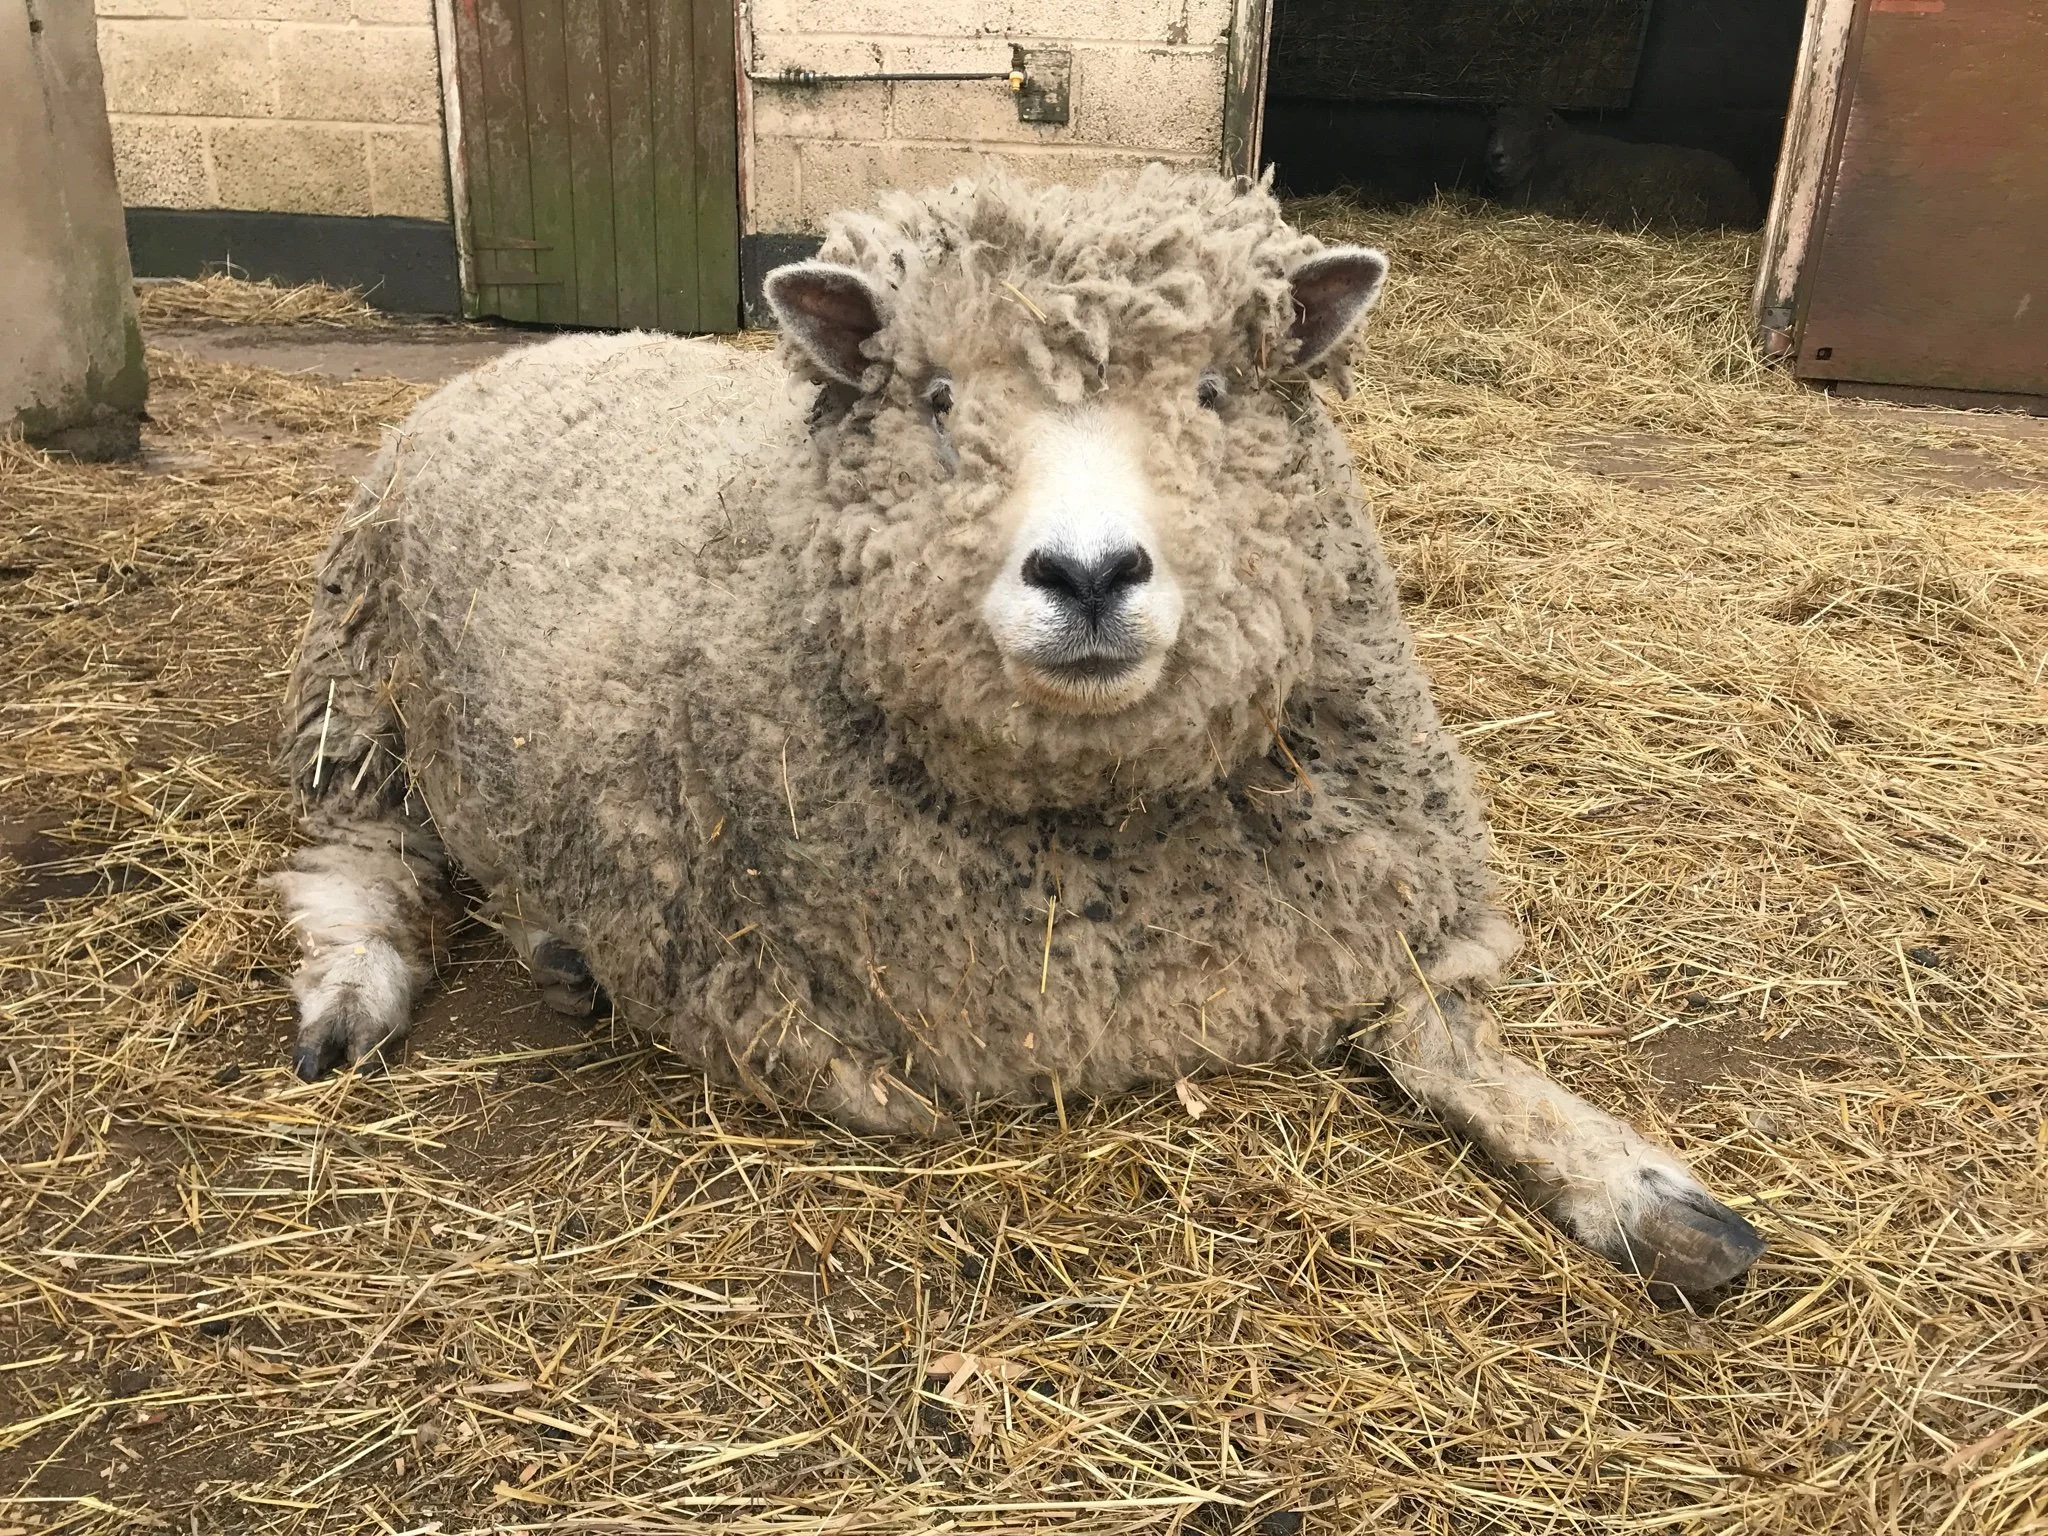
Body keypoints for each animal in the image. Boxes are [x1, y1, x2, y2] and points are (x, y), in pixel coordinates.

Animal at [272, 165, 1764, 1293]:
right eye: (937, 402)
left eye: (1215, 393)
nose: (1089, 573)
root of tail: (559, 343)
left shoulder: (1355, 917)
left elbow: (1438, 1035)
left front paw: (1638, 1186)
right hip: (359, 681)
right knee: (358, 855)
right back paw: (366, 990)